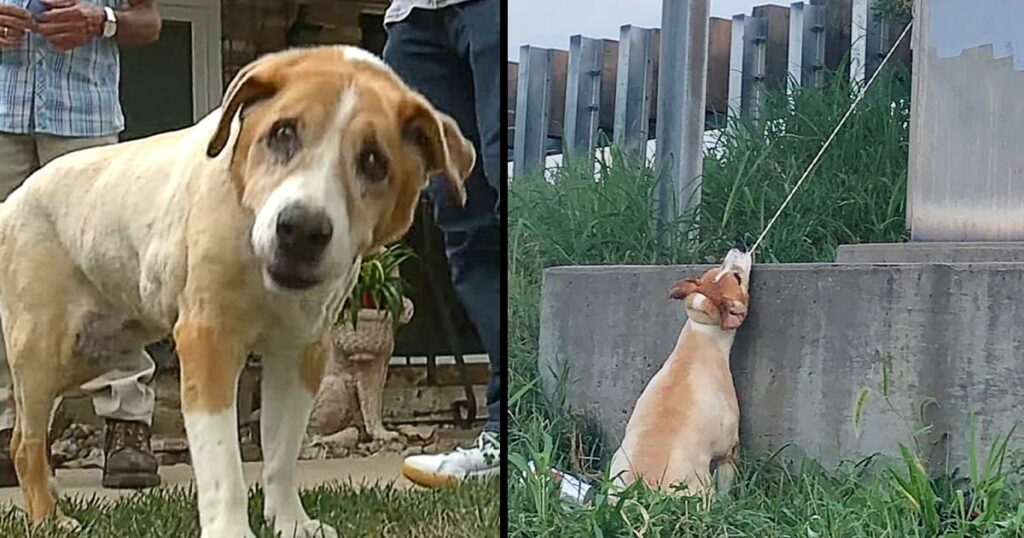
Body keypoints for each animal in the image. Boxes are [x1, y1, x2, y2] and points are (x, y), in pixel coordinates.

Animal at [0, 46, 475, 536]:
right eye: (282, 133)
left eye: (374, 161)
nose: (301, 230)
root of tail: (14, 199)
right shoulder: (209, 341)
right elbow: (223, 463)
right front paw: (231, 528)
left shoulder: (301, 351)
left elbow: (282, 451)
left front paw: (291, 521)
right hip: (42, 352)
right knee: (25, 443)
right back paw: (49, 518)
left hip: (89, 352)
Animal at [606, 247, 753, 504]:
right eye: (736, 277)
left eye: (719, 267)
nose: (739, 247)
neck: (703, 333)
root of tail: (641, 493)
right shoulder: (729, 449)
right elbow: (727, 479)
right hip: (700, 488)